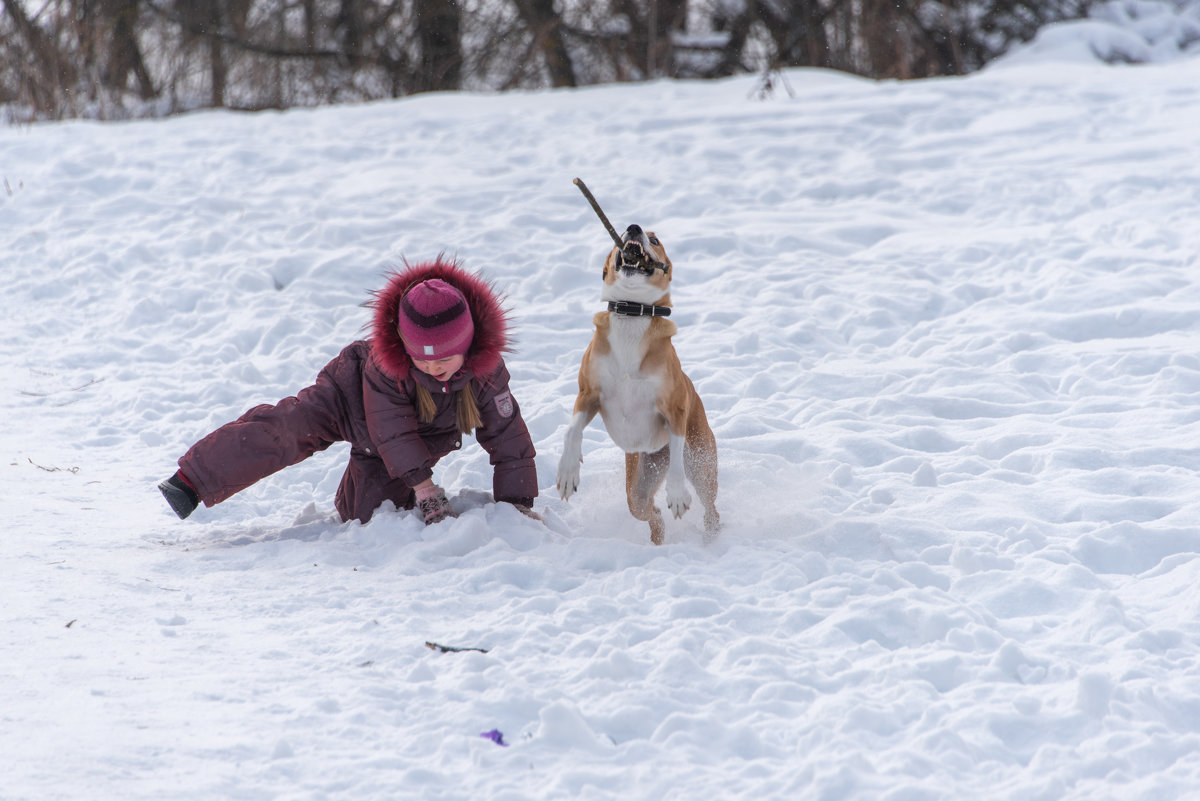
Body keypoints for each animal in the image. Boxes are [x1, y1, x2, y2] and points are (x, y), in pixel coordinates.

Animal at [554, 224, 715, 544]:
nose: (634, 228)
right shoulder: (588, 395)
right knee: (649, 511)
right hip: (640, 481)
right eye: (625, 229)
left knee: (709, 507)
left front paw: (677, 493)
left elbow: (677, 465)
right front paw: (568, 471)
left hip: (700, 462)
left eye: (654, 240)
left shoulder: (674, 410)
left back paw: (711, 537)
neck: (632, 311)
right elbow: (571, 430)